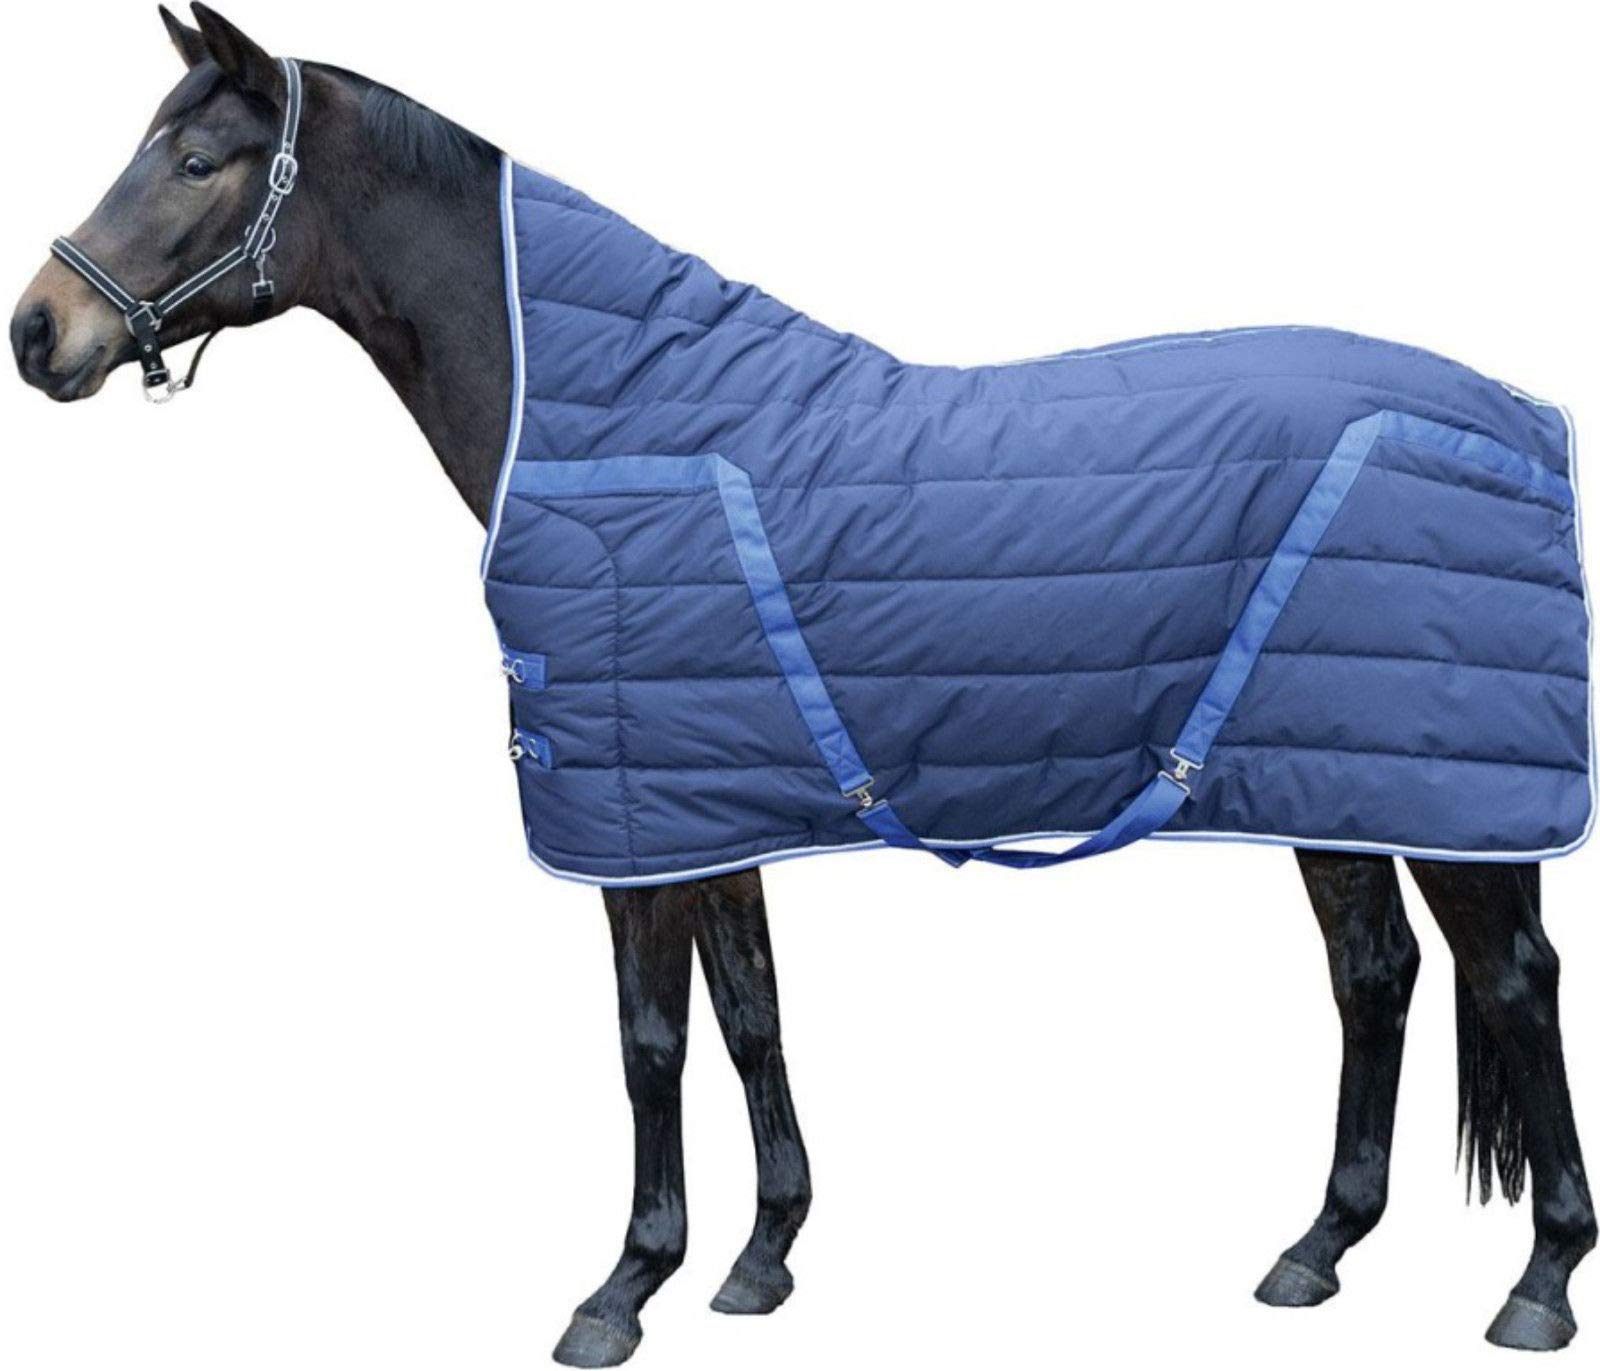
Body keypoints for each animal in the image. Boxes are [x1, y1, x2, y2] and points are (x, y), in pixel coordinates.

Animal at [10, 7, 1594, 1364]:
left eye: (197, 163)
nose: (38, 334)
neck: (622, 417)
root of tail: (1522, 418)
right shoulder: (712, 806)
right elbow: (750, 1015)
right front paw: (761, 1258)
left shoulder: (634, 828)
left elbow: (651, 1044)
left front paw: (622, 1287)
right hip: (1335, 786)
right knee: (1376, 976)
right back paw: (1318, 1246)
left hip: (1454, 806)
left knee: (1513, 982)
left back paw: (1538, 1283)